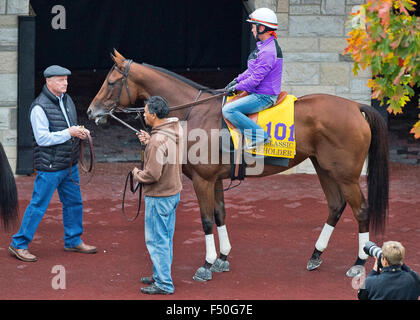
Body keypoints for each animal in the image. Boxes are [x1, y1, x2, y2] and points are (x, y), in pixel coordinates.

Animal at [87, 50, 388, 280]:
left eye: (111, 82)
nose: (91, 112)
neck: (195, 112)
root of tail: (355, 106)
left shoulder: (203, 180)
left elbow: (207, 219)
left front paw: (207, 263)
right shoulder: (216, 179)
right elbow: (220, 214)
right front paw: (222, 258)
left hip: (345, 175)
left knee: (361, 209)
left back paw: (358, 263)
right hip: (324, 168)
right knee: (336, 206)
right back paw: (316, 255)